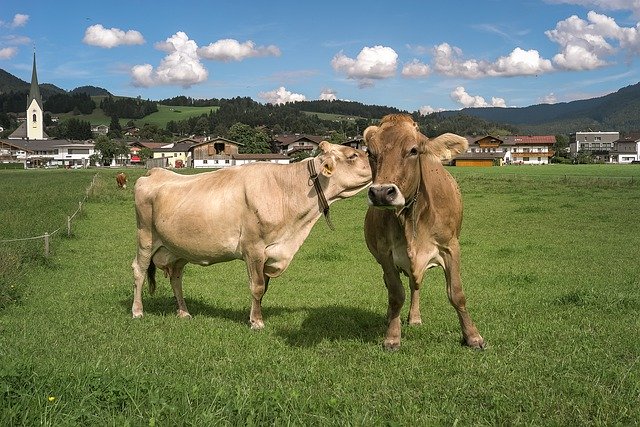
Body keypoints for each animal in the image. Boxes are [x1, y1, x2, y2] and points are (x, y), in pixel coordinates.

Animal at [130, 142, 370, 330]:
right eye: (353, 155)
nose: (375, 160)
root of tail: (155, 172)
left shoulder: (271, 252)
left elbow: (263, 289)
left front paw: (254, 316)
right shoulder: (254, 248)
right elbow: (257, 287)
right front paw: (257, 322)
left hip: (178, 249)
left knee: (176, 277)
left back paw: (183, 312)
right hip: (146, 237)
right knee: (139, 271)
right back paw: (137, 311)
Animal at [362, 114, 482, 352]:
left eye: (413, 150)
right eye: (370, 152)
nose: (381, 193)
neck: (410, 220)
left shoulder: (451, 247)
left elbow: (457, 294)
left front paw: (472, 336)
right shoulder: (385, 254)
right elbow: (396, 294)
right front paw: (392, 336)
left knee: (415, 284)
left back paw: (415, 317)